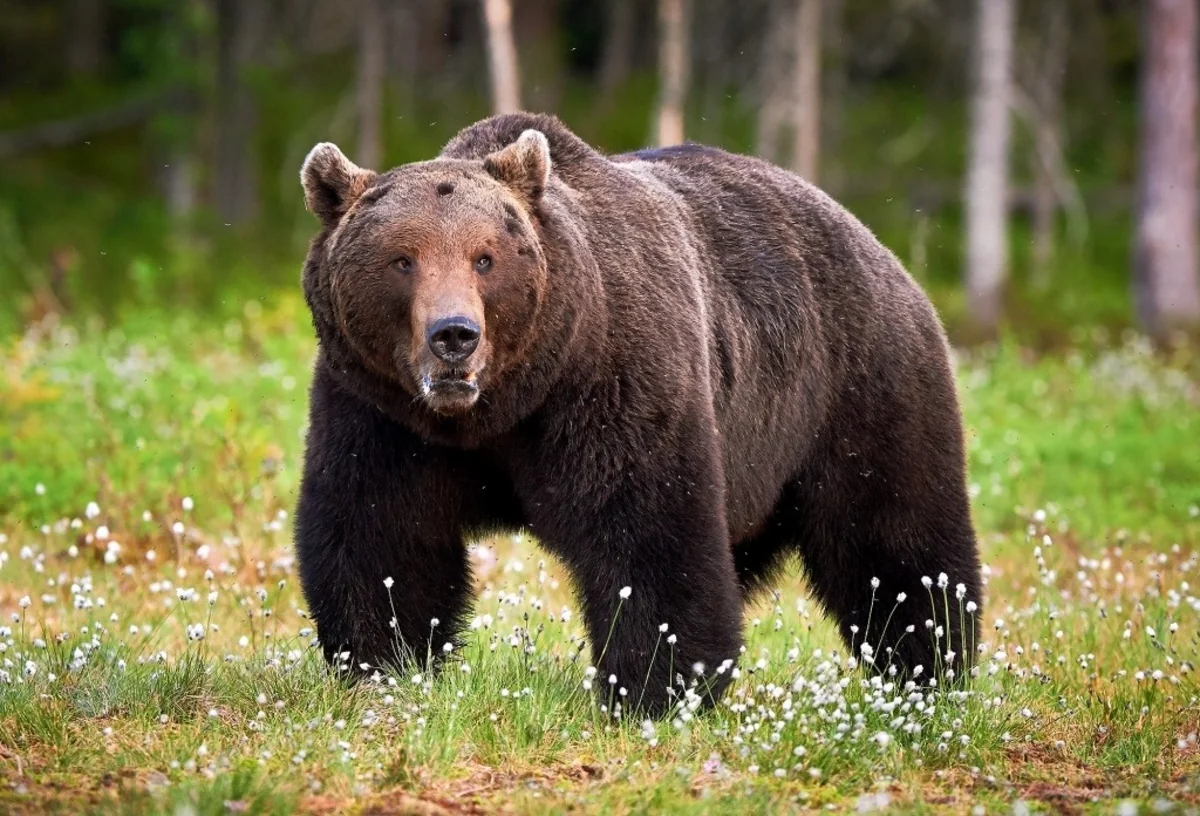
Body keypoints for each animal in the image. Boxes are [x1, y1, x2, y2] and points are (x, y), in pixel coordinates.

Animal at [294, 111, 982, 716]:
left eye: (485, 257)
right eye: (402, 258)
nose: (455, 335)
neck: (500, 407)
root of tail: (880, 247)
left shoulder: (614, 381)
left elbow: (647, 533)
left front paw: (651, 688)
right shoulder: (381, 412)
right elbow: (381, 534)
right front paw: (384, 663)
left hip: (858, 389)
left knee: (895, 540)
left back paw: (929, 669)